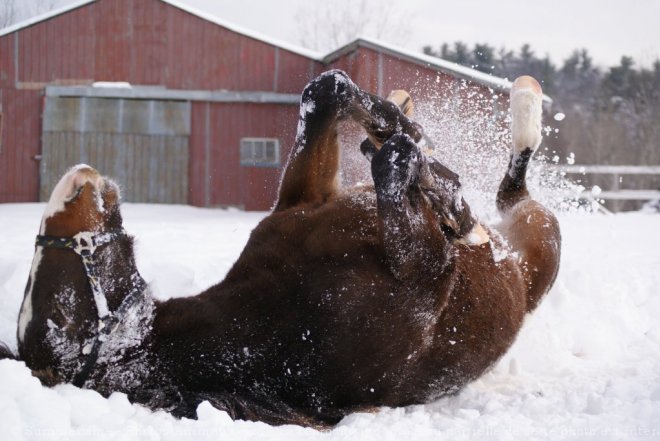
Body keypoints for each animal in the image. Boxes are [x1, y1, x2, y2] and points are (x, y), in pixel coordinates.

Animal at [7, 70, 560, 424]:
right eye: (60, 319)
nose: (75, 182)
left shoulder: (305, 201)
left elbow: (327, 91)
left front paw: (395, 124)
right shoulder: (427, 275)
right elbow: (397, 168)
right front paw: (447, 199)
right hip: (541, 242)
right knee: (515, 192)